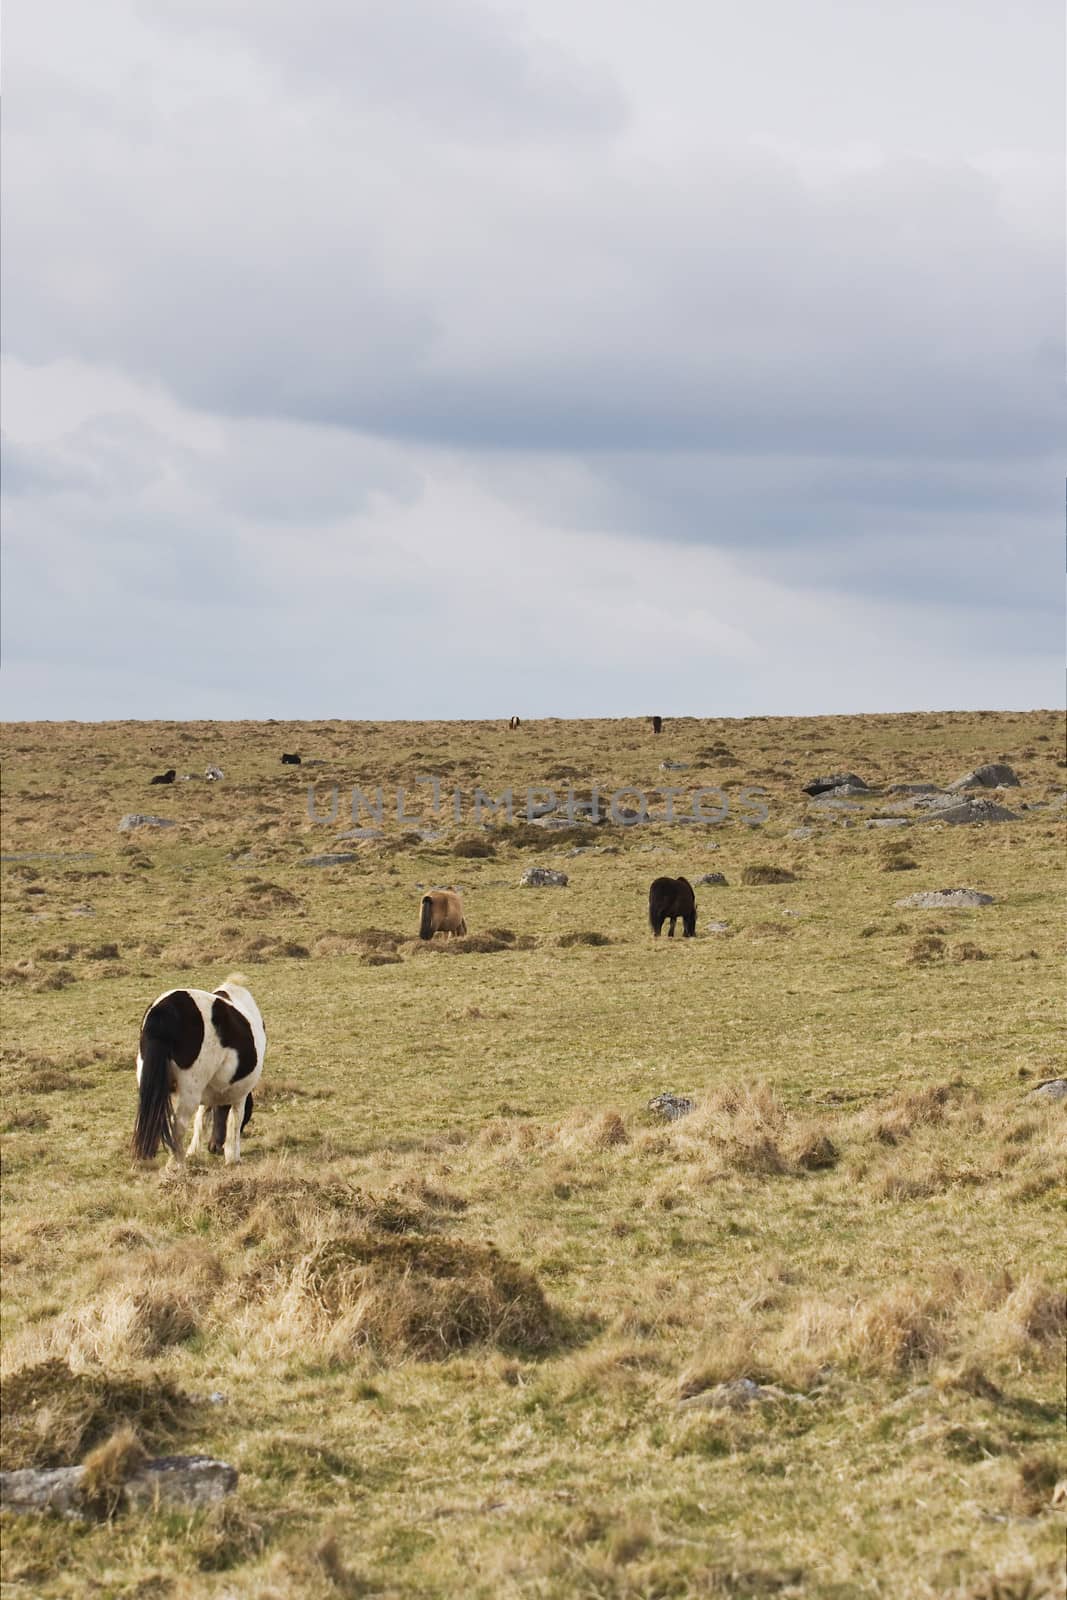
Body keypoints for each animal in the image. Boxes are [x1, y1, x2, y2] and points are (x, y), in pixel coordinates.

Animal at [131, 972, 265, 1164]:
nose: (214, 1148)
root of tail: (165, 1010)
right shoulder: (240, 1094)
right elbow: (234, 1120)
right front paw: (233, 1157)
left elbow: (201, 1117)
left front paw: (194, 1151)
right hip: (189, 1091)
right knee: (177, 1125)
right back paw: (176, 1164)